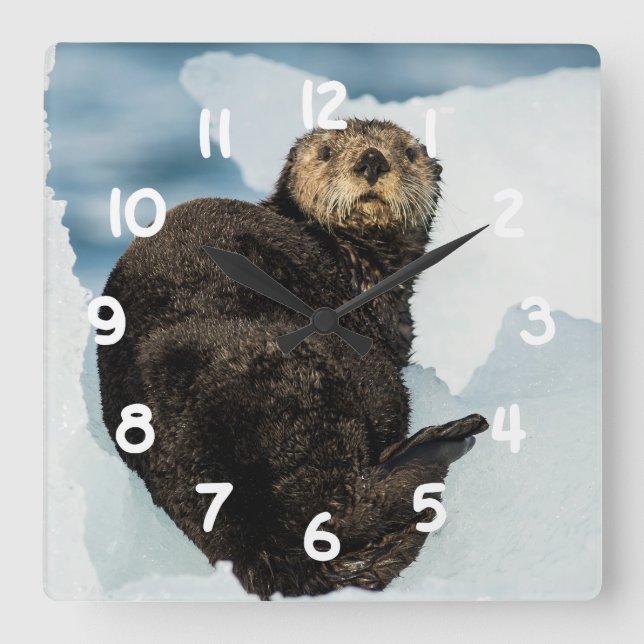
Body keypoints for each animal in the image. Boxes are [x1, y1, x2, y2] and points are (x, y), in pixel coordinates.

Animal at [97, 118, 488, 599]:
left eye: (408, 153)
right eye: (326, 152)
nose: (372, 159)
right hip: (330, 389)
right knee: (352, 502)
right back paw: (449, 437)